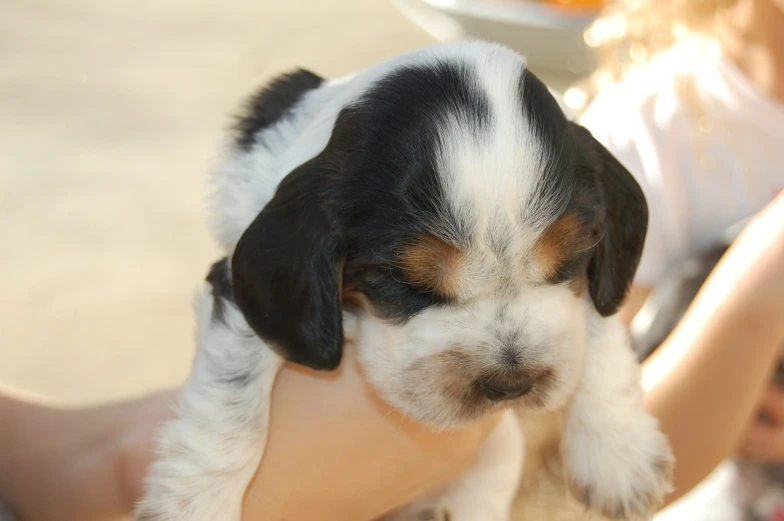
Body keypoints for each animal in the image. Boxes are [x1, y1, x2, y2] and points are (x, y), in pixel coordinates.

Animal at [136, 39, 672, 520]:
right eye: (405, 283)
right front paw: (195, 502)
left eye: (569, 263)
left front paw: (619, 455)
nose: (511, 384)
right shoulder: (241, 283)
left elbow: (597, 326)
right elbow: (234, 403)